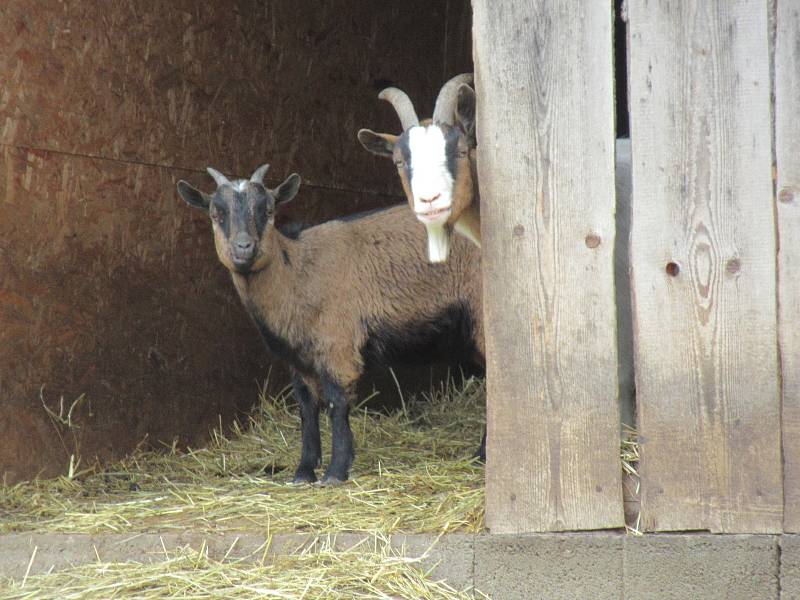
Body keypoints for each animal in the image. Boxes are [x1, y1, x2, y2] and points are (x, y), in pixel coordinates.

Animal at [177, 164, 484, 482]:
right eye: (215, 214)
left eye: (269, 210)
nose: (243, 247)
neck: (299, 271)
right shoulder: (299, 356)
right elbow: (306, 406)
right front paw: (304, 471)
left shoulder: (338, 342)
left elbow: (337, 402)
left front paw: (336, 471)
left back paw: (481, 455)